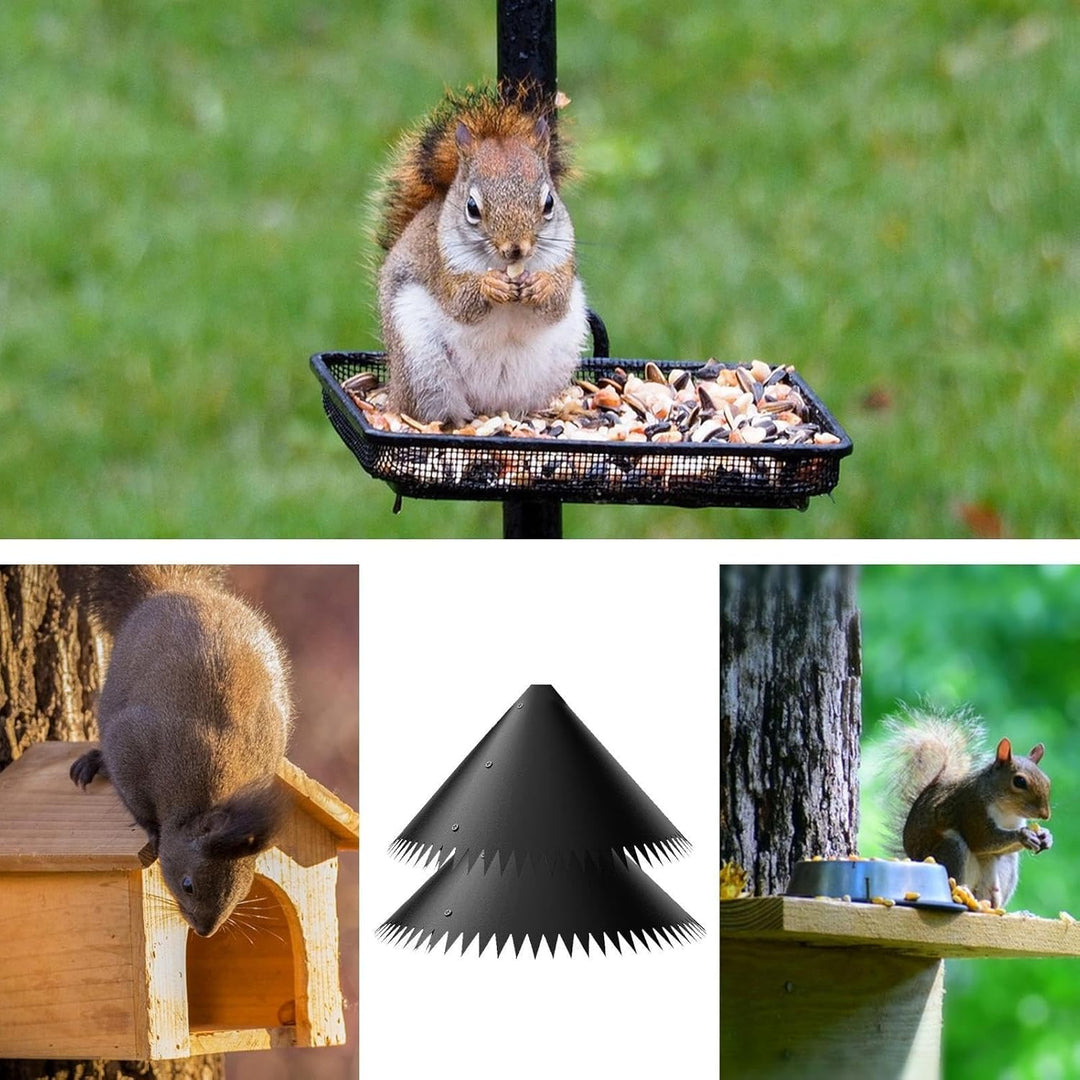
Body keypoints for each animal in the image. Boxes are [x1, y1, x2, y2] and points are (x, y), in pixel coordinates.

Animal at [69, 566, 291, 937]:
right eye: (187, 884)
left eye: (243, 890)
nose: (205, 931)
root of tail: (172, 588)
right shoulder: (133, 747)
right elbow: (135, 801)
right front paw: (152, 832)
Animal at [374, 82, 589, 426]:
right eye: (472, 208)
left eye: (549, 203)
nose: (515, 248)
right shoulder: (442, 268)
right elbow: (462, 304)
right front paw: (491, 286)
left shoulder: (563, 262)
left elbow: (556, 303)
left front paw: (540, 286)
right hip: (422, 367)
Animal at [884, 706, 1052, 909]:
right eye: (1019, 781)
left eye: (1047, 780)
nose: (1045, 815)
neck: (1007, 811)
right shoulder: (971, 810)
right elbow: (981, 840)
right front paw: (1023, 835)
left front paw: (1046, 836)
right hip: (950, 848)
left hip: (1004, 869)